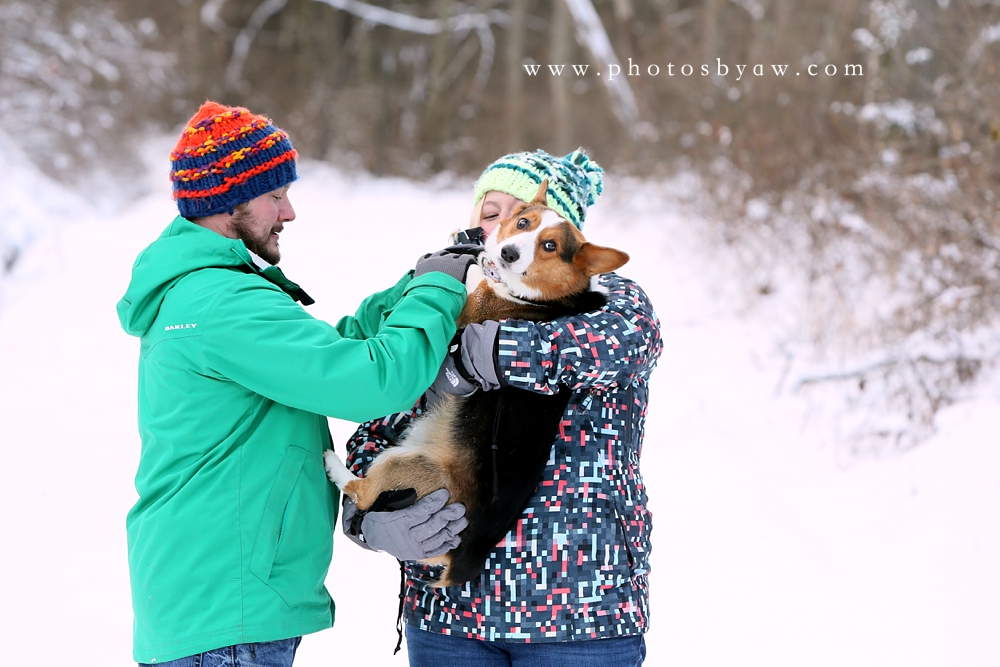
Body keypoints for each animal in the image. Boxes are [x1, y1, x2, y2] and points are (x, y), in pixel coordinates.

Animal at [326, 180, 624, 588]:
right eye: (523, 222)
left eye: (549, 245)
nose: (508, 252)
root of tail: (463, 558)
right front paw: (463, 245)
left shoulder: (471, 310)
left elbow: (466, 283)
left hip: (405, 464)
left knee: (362, 491)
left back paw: (331, 465)